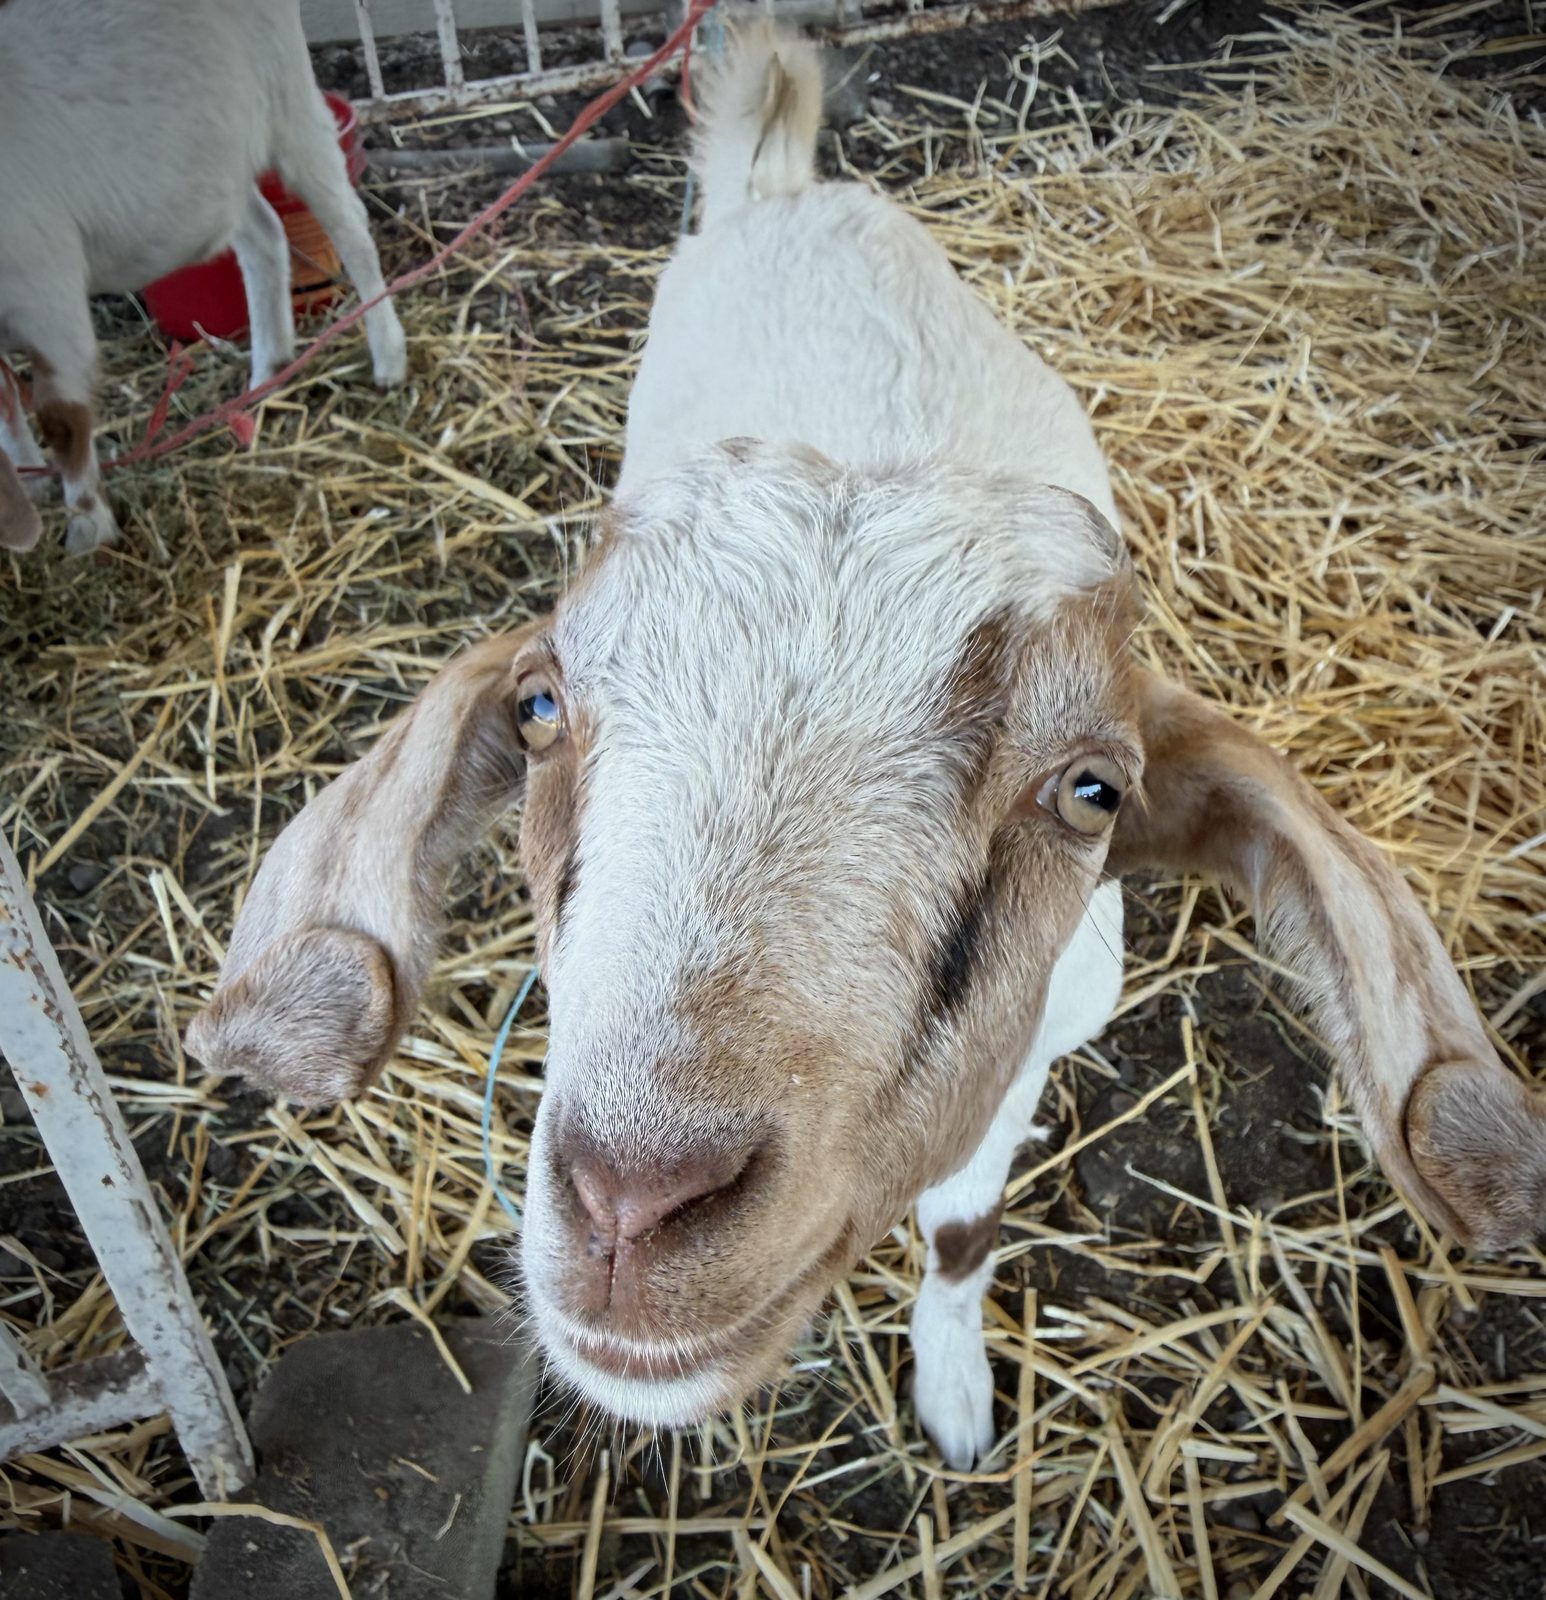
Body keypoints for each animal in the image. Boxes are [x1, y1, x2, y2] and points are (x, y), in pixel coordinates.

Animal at [0, 0, 406, 557]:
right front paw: (32, 478)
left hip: (287, 100)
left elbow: (60, 417)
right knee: (263, 233)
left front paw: (88, 529)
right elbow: (4, 398)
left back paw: (388, 356)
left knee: (349, 225)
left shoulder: (45, 291)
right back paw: (266, 371)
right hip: (219, 155)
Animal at [186, 23, 1546, 1467]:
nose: (631, 1202)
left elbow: (960, 1230)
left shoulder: (1019, 1063)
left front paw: (955, 1406)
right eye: (540, 708)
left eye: (1090, 789)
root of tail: (783, 186)